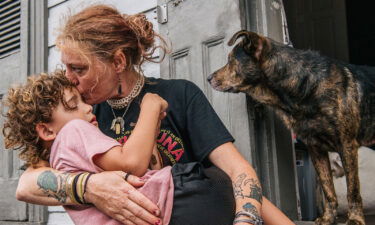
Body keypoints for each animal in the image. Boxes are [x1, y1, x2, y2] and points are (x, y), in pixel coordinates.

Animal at [209, 30, 375, 225]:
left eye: (231, 60)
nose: (208, 78)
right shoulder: (316, 149)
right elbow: (328, 188)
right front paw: (328, 218)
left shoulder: (347, 145)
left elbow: (353, 189)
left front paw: (355, 218)